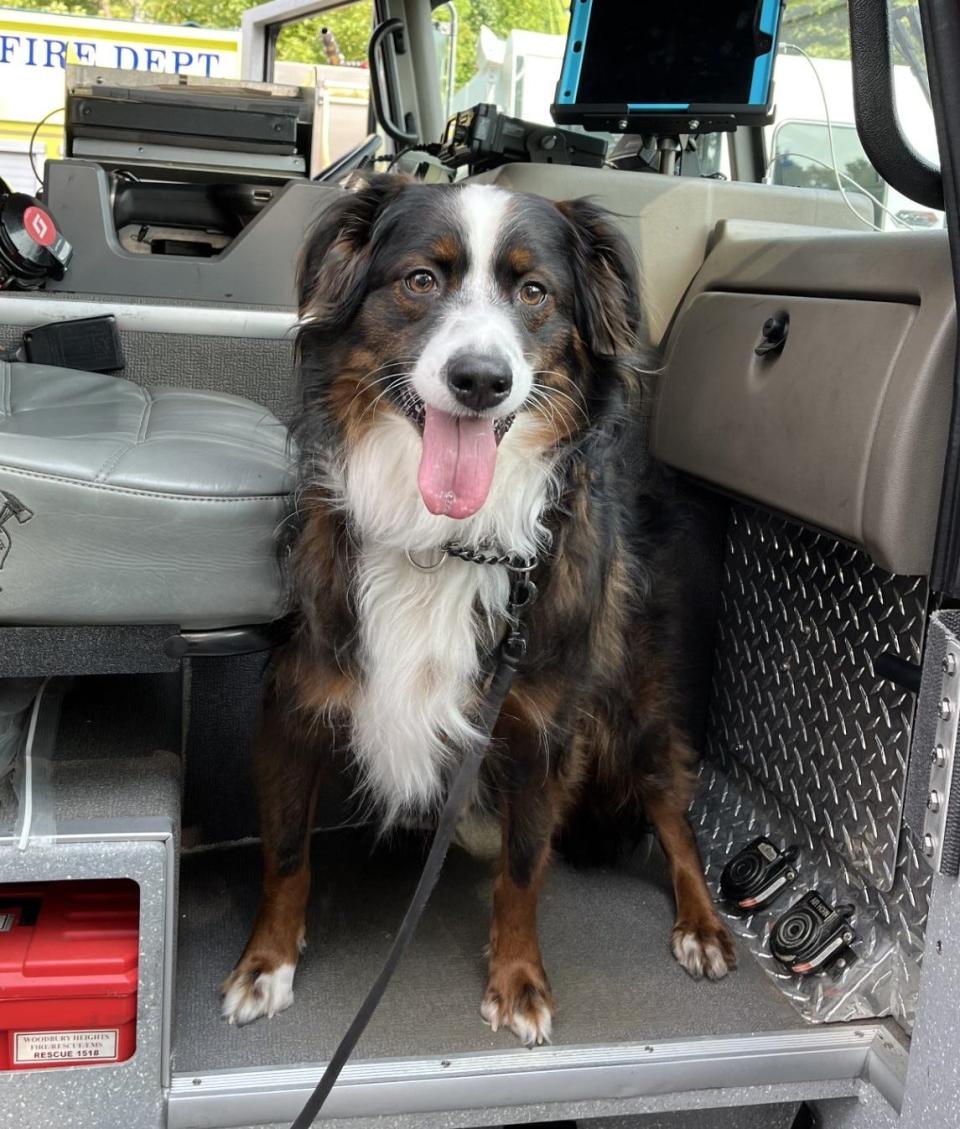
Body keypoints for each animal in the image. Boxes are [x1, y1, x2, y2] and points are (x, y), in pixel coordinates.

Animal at [222, 176, 731, 1047]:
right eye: (422, 280)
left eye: (535, 293)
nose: (481, 379)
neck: (447, 542)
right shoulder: (295, 700)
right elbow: (286, 852)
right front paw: (269, 963)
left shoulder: (542, 725)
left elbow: (526, 865)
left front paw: (519, 980)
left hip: (637, 702)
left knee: (674, 812)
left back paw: (699, 922)